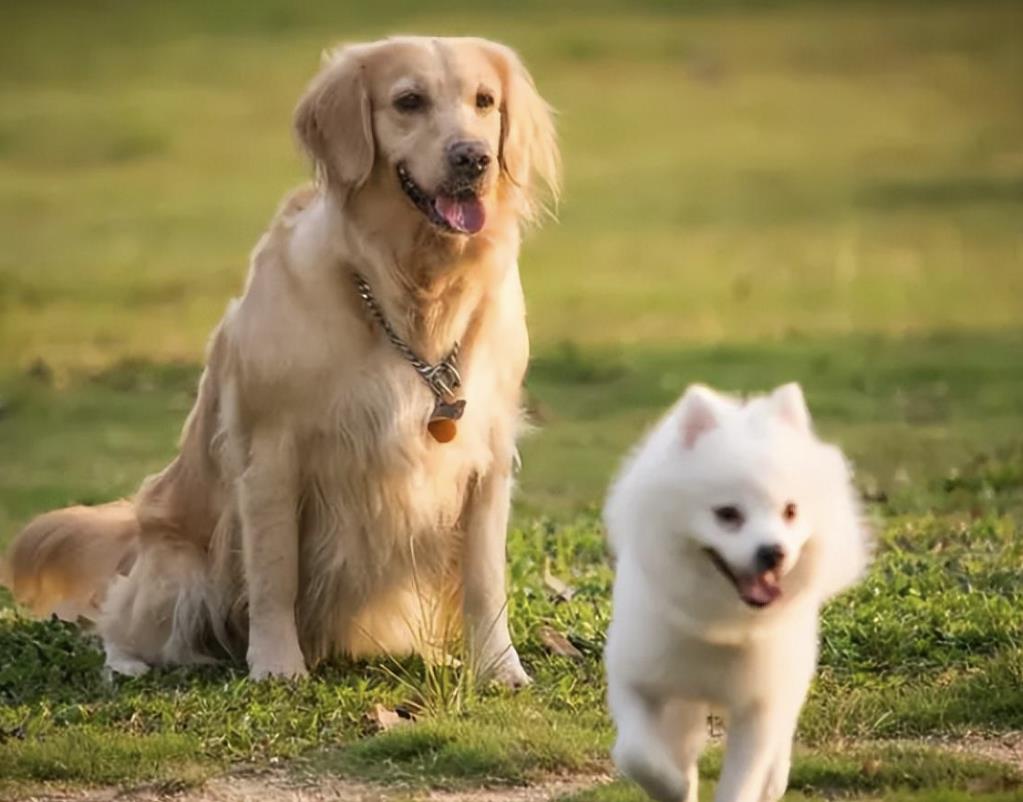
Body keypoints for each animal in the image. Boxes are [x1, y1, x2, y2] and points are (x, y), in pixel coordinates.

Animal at [601, 382, 867, 802]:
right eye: (727, 514)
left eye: (790, 511)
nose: (774, 551)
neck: (721, 623)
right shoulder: (638, 680)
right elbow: (636, 753)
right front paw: (675, 784)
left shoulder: (758, 706)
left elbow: (744, 777)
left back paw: (775, 780)